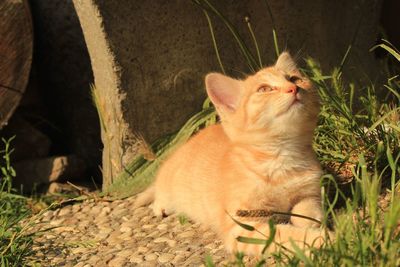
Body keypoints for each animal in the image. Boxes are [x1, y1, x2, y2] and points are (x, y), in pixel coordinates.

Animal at [134, 52, 328, 255]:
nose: (293, 88)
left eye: (295, 79)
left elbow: (309, 209)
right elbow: (286, 236)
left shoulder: (311, 192)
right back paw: (160, 205)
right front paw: (324, 239)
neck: (281, 157)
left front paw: (309, 222)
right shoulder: (242, 226)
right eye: (264, 89)